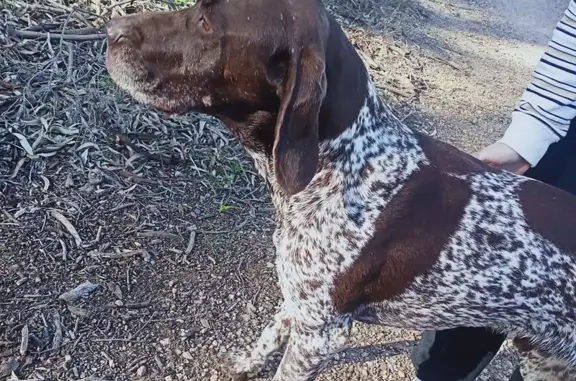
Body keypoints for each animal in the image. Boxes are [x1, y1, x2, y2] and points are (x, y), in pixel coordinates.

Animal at [106, 1, 576, 378]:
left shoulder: (322, 334)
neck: (346, 158)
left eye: (205, 22)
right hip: (543, 360)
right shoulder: (301, 300)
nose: (111, 29)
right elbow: (268, 335)